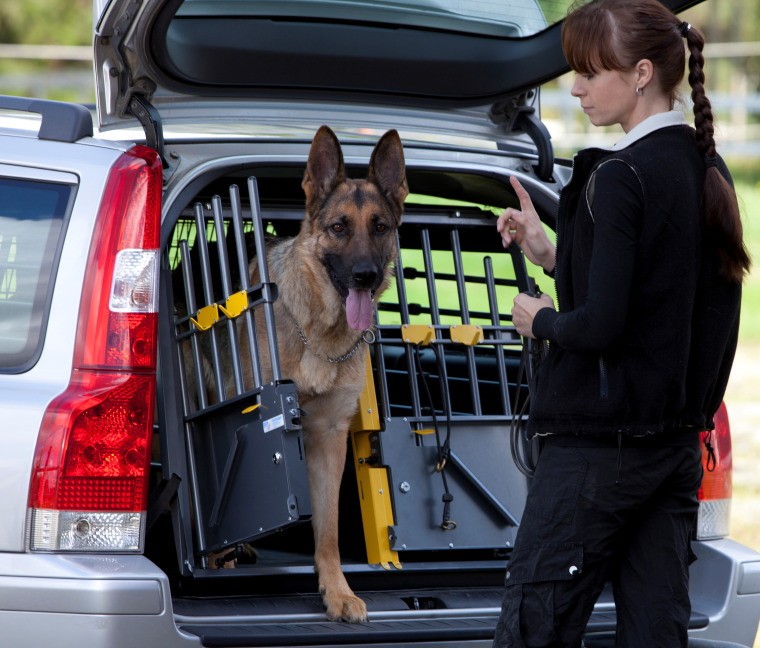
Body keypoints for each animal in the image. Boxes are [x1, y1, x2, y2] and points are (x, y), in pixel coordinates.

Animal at [238, 124, 406, 620]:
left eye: (380, 227)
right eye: (338, 228)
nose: (366, 276)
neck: (319, 331)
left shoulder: (330, 437)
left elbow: (328, 529)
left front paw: (337, 591)